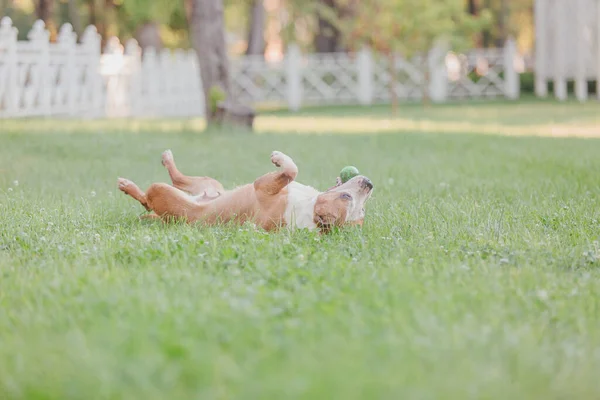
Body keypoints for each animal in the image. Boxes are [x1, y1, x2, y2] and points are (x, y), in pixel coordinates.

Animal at [118, 150, 376, 233]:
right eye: (347, 197)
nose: (369, 183)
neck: (308, 208)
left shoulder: (262, 185)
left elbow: (290, 170)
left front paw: (279, 158)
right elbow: (292, 173)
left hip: (163, 192)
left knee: (148, 199)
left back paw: (127, 185)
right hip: (210, 184)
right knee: (178, 178)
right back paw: (167, 159)